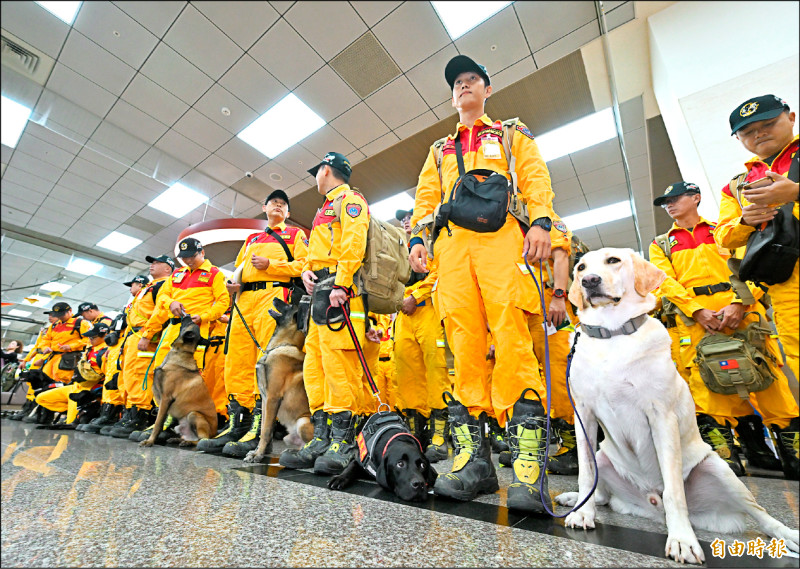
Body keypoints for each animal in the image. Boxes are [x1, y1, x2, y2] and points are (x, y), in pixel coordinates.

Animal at [139, 318, 217, 446]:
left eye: (190, 323)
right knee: (190, 437)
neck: (180, 352)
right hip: (180, 425)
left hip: (194, 414)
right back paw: (179, 439)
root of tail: (214, 435)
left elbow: (158, 423)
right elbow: (161, 422)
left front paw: (150, 441)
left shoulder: (166, 398)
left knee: (201, 440)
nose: (188, 316)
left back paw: (188, 442)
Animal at [245, 298, 314, 462]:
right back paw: (292, 453)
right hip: (287, 437)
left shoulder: (272, 398)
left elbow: (266, 431)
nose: (275, 299)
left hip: (302, 422)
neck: (283, 345)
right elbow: (264, 428)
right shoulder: (265, 400)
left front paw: (258, 455)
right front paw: (260, 451)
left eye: (289, 305)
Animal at [556, 247, 800, 564]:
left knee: (761, 514)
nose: (589, 281)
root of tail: (650, 506)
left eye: (613, 261)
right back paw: (576, 500)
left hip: (719, 470)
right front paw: (582, 513)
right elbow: (586, 474)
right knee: (601, 493)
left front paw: (682, 539)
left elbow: (674, 491)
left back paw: (788, 535)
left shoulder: (662, 416)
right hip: (603, 455)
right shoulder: (584, 415)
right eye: (581, 268)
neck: (613, 334)